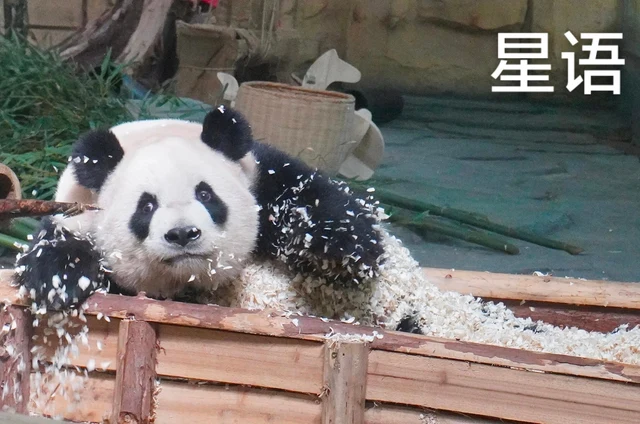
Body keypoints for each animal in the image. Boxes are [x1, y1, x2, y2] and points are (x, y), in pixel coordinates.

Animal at [14, 105, 385, 312]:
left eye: (206, 195)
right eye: (146, 206)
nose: (182, 234)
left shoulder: (260, 177)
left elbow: (308, 194)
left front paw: (341, 250)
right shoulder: (76, 211)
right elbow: (55, 246)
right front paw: (60, 280)